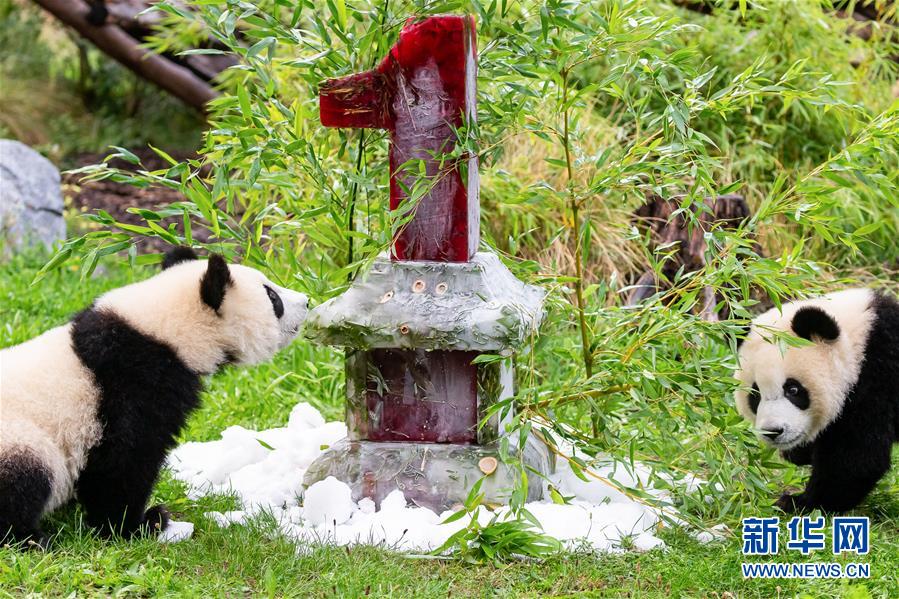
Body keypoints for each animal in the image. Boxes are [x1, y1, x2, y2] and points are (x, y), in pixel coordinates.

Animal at [0, 248, 308, 548]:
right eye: (272, 297)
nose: (306, 301)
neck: (163, 331)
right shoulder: (135, 384)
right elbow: (124, 460)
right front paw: (139, 524)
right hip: (20, 439)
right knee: (24, 481)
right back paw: (30, 538)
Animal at [740, 288, 899, 512]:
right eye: (755, 395)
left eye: (793, 389)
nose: (773, 431)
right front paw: (798, 453)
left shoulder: (876, 383)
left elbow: (857, 458)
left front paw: (799, 502)